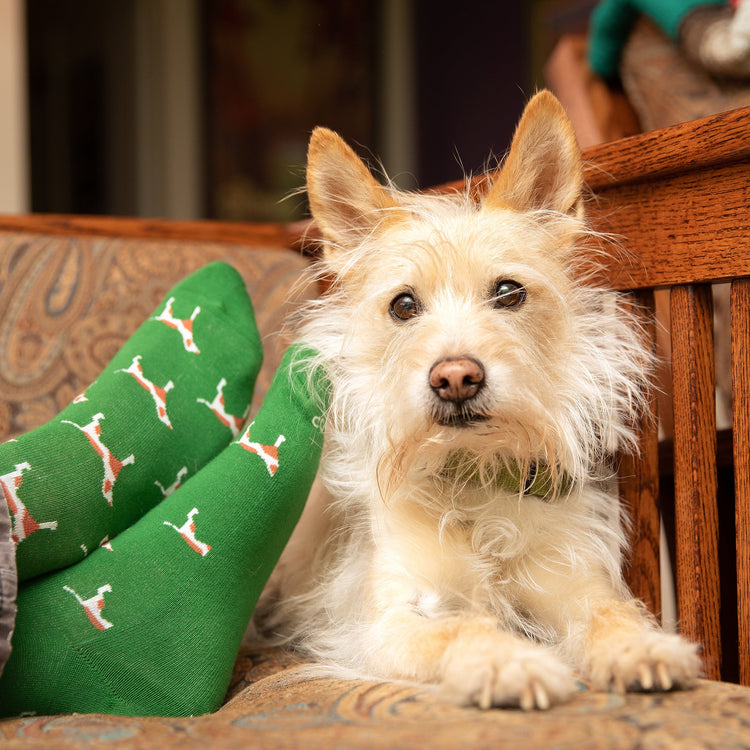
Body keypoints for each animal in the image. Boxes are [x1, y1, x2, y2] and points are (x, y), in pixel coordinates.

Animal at [254, 89, 704, 712]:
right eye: (403, 305)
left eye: (509, 292)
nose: (456, 377)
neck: (475, 477)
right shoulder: (386, 623)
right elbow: (460, 627)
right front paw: (508, 662)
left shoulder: (575, 584)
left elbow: (613, 615)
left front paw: (643, 648)